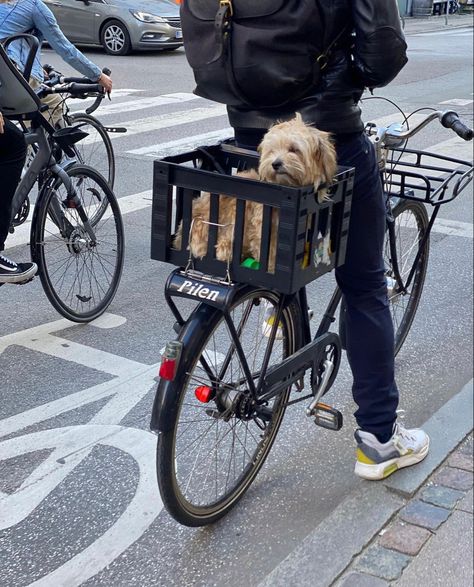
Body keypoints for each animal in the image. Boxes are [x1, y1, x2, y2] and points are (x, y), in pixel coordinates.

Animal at [173, 112, 336, 272]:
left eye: (294, 149)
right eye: (272, 150)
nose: (275, 163)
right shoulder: (263, 230)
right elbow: (268, 254)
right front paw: (270, 270)